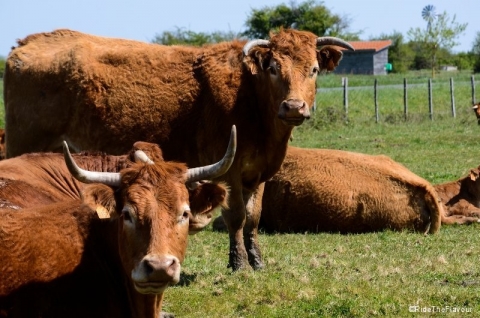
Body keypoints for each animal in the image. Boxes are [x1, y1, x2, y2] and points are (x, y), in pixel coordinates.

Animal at [2, 28, 352, 270]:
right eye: (274, 68)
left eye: (313, 70)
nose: (294, 107)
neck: (249, 96)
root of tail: (28, 43)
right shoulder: (229, 171)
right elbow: (237, 217)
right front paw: (238, 263)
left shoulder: (259, 172)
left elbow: (253, 218)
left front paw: (256, 261)